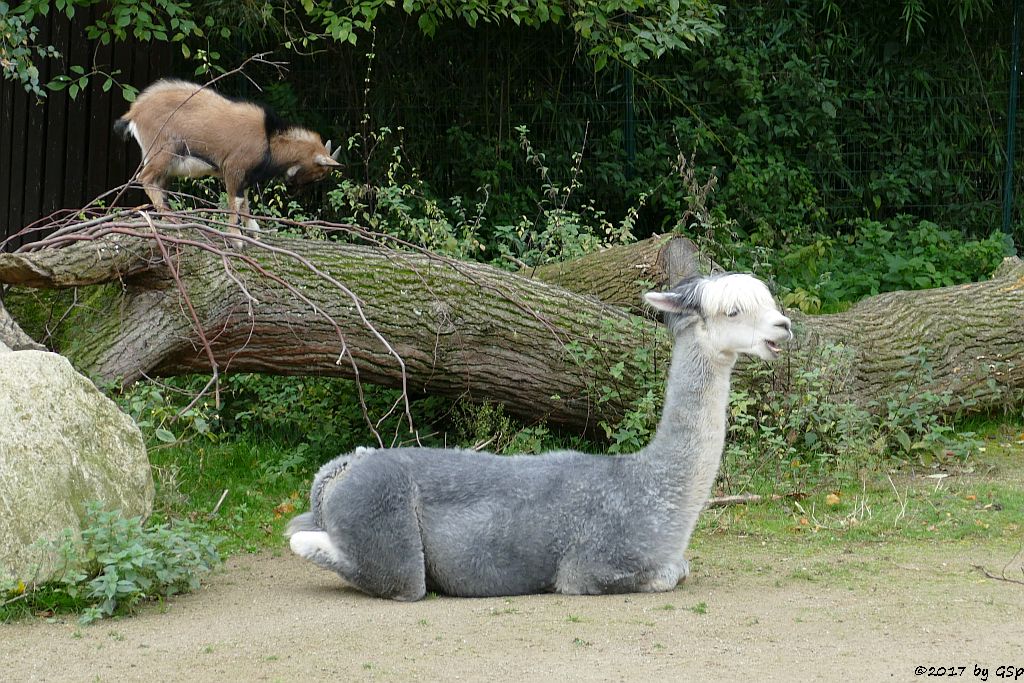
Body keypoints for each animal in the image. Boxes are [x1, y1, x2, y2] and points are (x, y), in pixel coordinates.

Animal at [114, 79, 342, 239]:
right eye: (320, 174)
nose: (294, 191)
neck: (269, 139)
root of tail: (134, 113)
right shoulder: (234, 168)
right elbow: (236, 201)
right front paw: (236, 237)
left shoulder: (246, 176)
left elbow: (246, 202)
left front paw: (254, 231)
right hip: (163, 152)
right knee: (145, 178)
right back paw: (171, 219)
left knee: (158, 184)